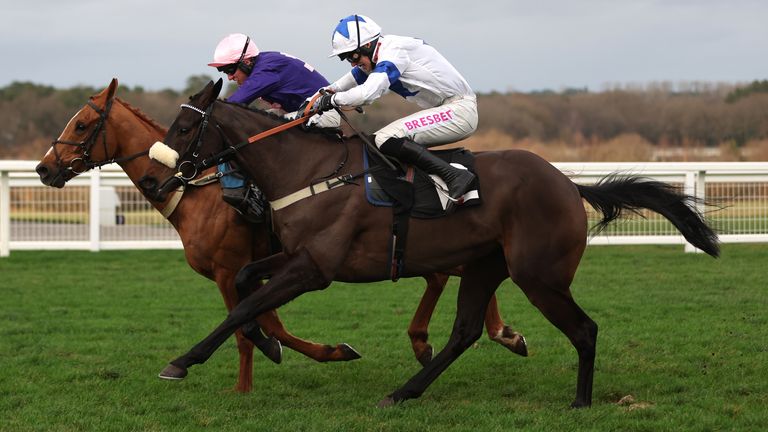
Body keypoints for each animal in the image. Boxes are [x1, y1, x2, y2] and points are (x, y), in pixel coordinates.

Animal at [36, 77, 528, 392]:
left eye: (81, 125)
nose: (43, 169)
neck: (198, 194)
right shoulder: (259, 268)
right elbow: (264, 320)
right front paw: (288, 351)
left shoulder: (235, 268)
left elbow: (248, 322)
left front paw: (242, 382)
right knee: (447, 275)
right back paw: (471, 336)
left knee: (456, 274)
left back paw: (494, 334)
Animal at [136, 78, 720, 408]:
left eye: (184, 128)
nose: (157, 181)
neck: (309, 171)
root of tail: (566, 182)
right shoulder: (294, 257)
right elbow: (243, 284)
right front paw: (264, 342)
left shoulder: (314, 268)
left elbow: (244, 305)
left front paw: (182, 361)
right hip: (486, 265)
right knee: (464, 332)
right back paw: (404, 391)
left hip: (538, 274)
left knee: (584, 329)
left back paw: (580, 403)